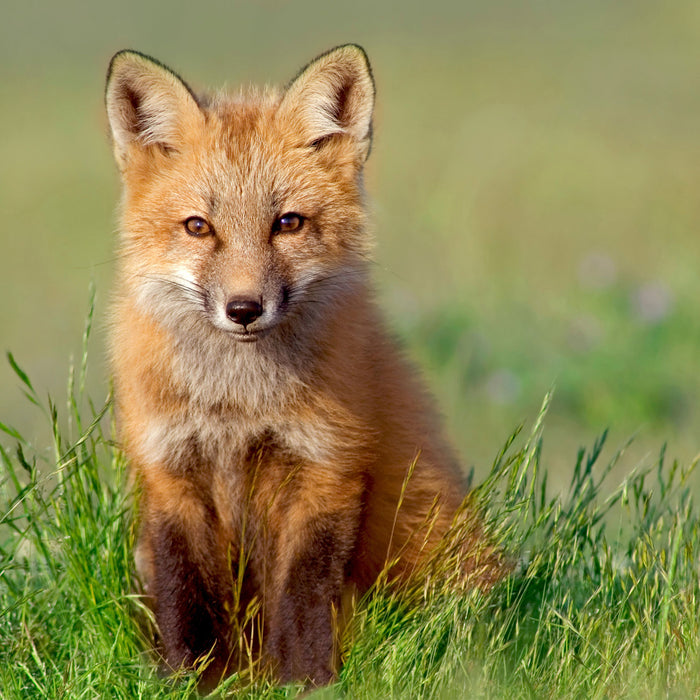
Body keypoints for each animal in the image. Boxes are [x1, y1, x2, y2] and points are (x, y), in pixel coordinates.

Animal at [104, 45, 504, 688]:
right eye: (198, 227)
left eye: (287, 223)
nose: (244, 309)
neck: (239, 406)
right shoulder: (170, 472)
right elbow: (184, 595)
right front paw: (189, 681)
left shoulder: (326, 466)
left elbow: (303, 595)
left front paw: (304, 683)